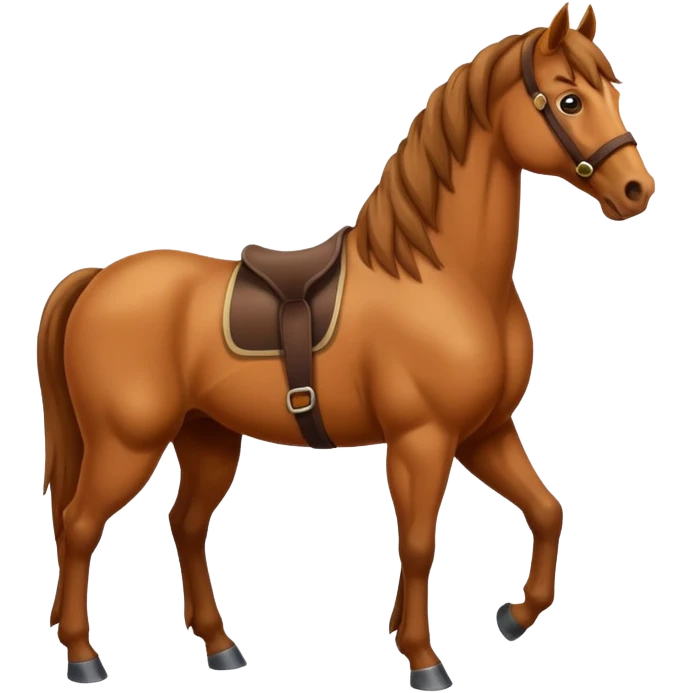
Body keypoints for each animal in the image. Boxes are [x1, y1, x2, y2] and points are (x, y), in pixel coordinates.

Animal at [37, 2, 654, 688]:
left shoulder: (485, 434)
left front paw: (513, 616)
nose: (637, 190)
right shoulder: (423, 439)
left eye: (614, 91)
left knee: (186, 527)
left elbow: (547, 511)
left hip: (206, 438)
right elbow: (418, 544)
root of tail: (96, 280)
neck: (444, 276)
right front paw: (423, 659)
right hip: (127, 444)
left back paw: (221, 648)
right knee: (79, 526)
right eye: (569, 100)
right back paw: (83, 657)